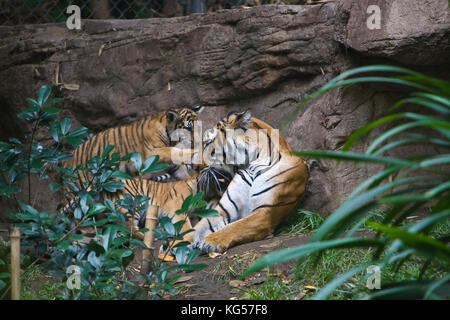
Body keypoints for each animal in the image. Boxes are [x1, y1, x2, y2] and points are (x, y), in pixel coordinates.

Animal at [190, 110, 310, 252]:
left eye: (207, 143)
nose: (193, 166)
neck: (252, 165)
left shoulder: (264, 212)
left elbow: (235, 226)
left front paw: (210, 241)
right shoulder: (223, 211)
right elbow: (194, 229)